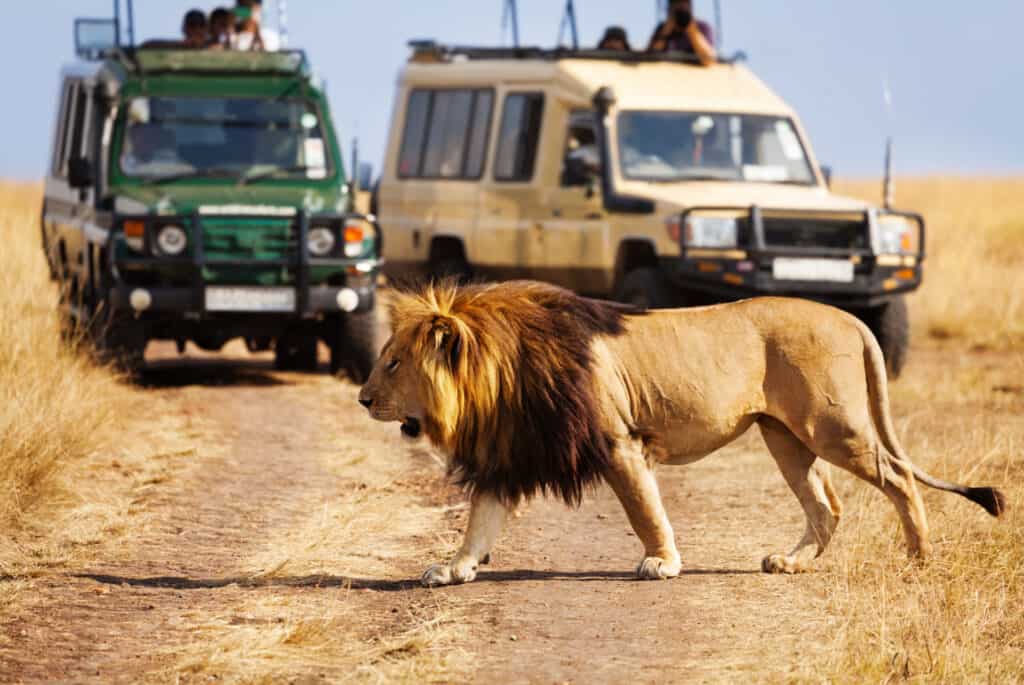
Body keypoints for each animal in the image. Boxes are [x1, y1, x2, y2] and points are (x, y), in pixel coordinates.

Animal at [356, 280, 1003, 585]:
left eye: (393, 362)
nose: (362, 398)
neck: (500, 377)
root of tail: (850, 317)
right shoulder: (511, 455)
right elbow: (479, 522)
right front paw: (453, 569)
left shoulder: (619, 442)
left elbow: (645, 510)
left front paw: (662, 563)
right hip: (784, 436)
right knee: (827, 506)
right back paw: (790, 563)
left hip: (832, 425)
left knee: (898, 478)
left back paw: (919, 557)